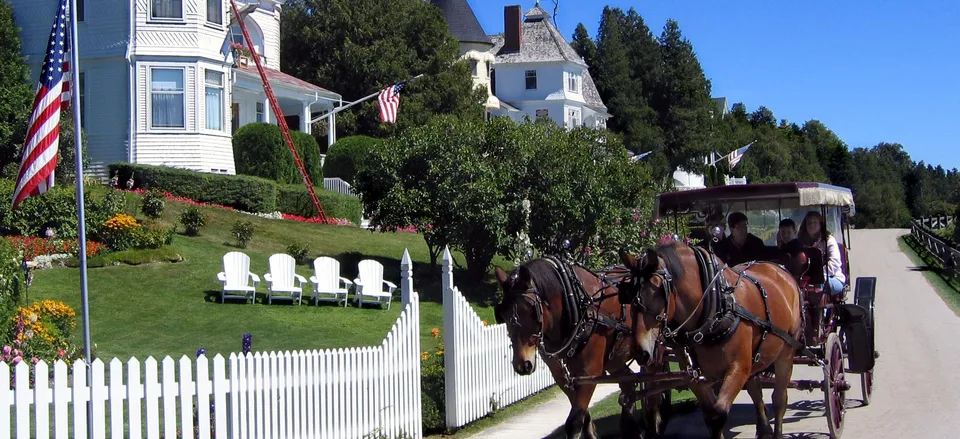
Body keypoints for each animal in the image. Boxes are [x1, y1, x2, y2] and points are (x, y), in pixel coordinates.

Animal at [496, 258, 668, 439]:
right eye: (504, 314)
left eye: (531, 310)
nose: (522, 364)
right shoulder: (564, 376)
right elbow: (582, 415)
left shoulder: (589, 372)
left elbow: (574, 422)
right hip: (614, 359)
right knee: (629, 386)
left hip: (652, 352)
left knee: (655, 391)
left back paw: (654, 426)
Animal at [620, 244, 808, 439]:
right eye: (627, 294)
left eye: (656, 292)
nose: (640, 352)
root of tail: (779, 268)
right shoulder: (694, 376)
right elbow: (710, 416)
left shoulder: (738, 367)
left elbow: (719, 413)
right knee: (756, 390)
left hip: (786, 351)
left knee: (779, 399)